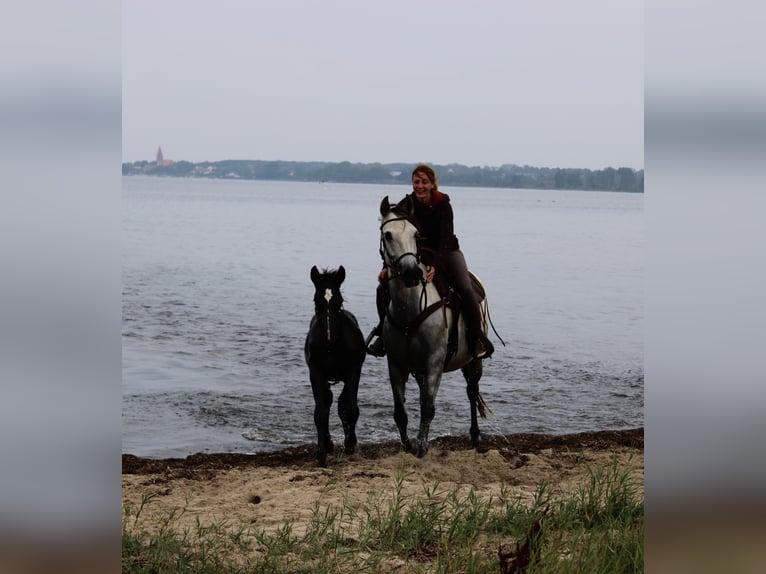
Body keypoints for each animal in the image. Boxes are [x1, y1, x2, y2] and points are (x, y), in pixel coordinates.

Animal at [304, 265, 366, 467]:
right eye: (317, 301)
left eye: (339, 301)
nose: (329, 334)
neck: (332, 347)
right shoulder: (316, 373)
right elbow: (320, 413)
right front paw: (322, 454)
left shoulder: (354, 371)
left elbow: (351, 408)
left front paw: (350, 444)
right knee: (330, 400)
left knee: (341, 402)